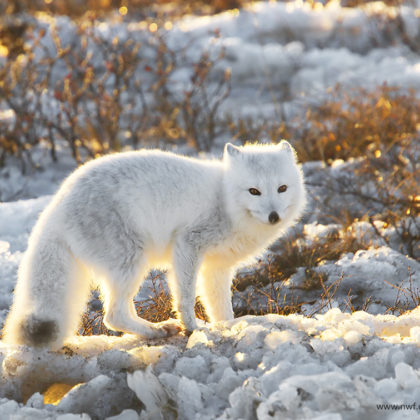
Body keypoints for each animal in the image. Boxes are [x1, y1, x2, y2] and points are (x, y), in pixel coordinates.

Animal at [2, 141, 306, 348]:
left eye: (282, 188)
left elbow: (220, 307)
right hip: (132, 262)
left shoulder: (217, 268)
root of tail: (56, 204)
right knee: (113, 316)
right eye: (254, 191)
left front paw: (228, 328)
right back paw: (157, 330)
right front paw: (193, 327)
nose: (274, 216)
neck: (225, 200)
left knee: (118, 312)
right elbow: (185, 297)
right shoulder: (187, 243)